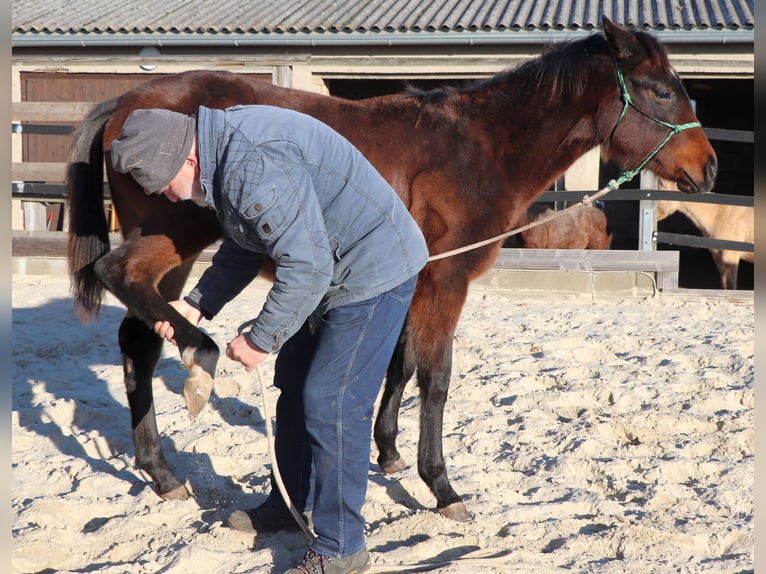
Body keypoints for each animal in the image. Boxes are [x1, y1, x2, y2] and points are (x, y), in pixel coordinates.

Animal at [66, 17, 716, 522]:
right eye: (660, 91)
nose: (709, 168)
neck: (481, 149)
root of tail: (125, 104)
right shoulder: (447, 282)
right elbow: (437, 377)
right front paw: (442, 486)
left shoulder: (416, 277)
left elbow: (401, 362)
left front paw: (390, 453)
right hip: (177, 234)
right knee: (122, 279)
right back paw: (197, 367)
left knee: (140, 337)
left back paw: (161, 471)